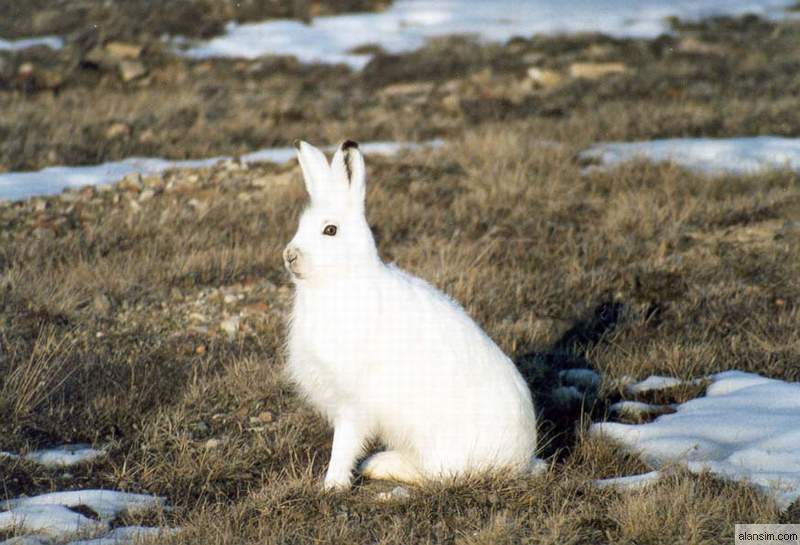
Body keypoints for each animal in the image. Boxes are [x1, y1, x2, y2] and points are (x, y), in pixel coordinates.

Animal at [284, 140, 537, 490]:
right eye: (299, 227)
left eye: (330, 230)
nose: (289, 255)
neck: (340, 279)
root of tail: (523, 458)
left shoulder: (354, 403)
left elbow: (345, 441)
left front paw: (333, 484)